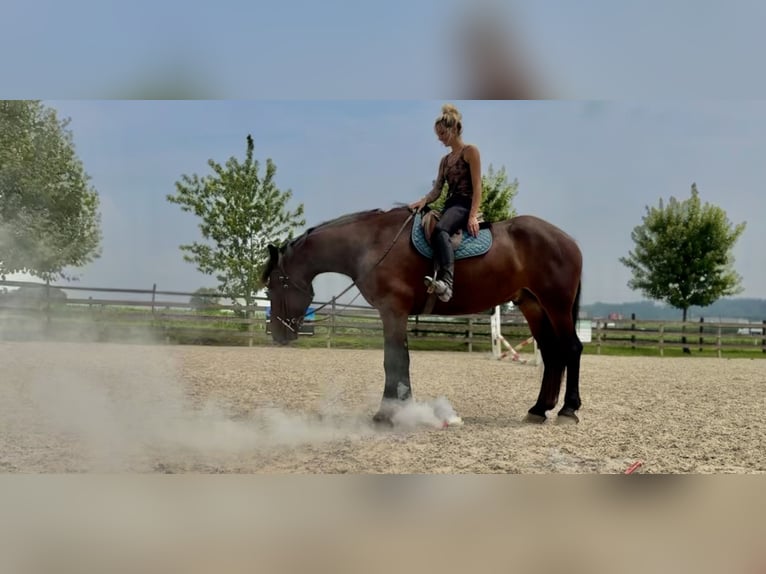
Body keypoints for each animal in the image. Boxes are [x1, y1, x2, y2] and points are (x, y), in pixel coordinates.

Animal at [261, 205, 584, 425]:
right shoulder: (394, 314)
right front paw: (402, 407)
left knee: (571, 349)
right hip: (533, 305)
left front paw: (387, 413)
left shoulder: (393, 311)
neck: (372, 243)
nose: (277, 333)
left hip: (556, 305)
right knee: (552, 354)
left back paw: (568, 410)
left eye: (275, 284)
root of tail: (568, 240)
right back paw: (539, 409)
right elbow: (400, 360)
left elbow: (393, 361)